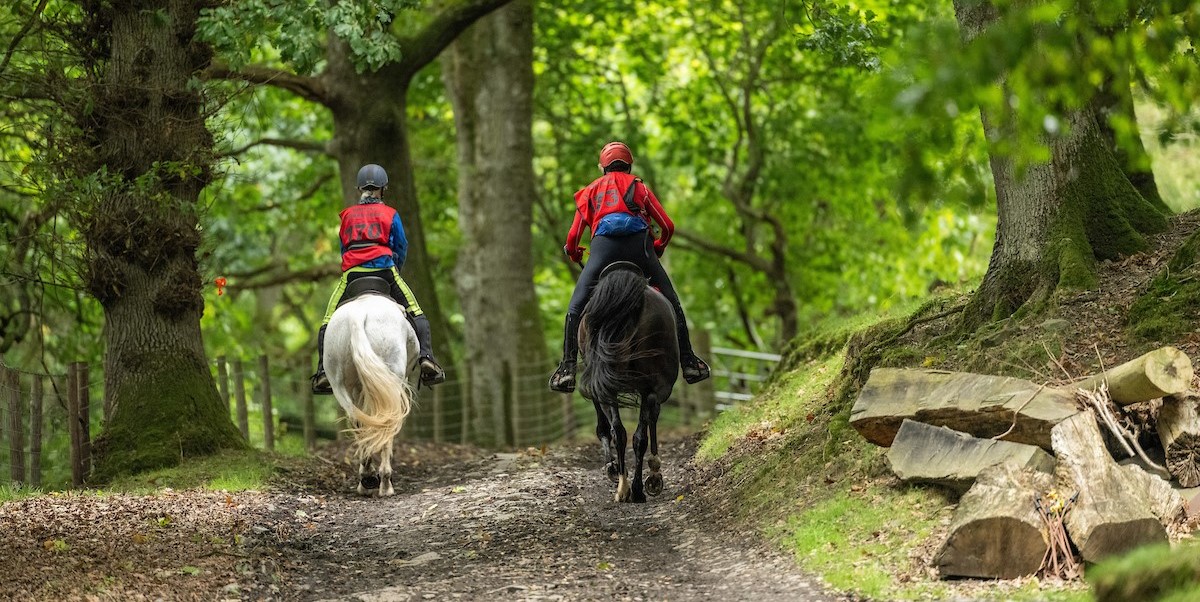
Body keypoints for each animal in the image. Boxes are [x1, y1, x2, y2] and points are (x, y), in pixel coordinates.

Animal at [326, 289, 420, 496]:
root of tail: (357, 315)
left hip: (340, 385)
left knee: (357, 420)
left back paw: (367, 478)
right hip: (392, 380)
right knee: (388, 422)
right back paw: (385, 483)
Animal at [578, 261, 681, 501]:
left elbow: (606, 427)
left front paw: (614, 468)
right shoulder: (656, 389)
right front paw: (653, 474)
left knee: (621, 432)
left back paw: (626, 487)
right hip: (651, 386)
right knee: (634, 434)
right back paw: (635, 488)